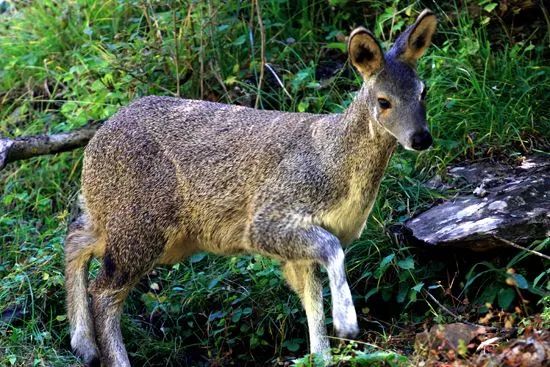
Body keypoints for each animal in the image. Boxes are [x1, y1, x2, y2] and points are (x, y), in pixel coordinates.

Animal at [64, 9, 438, 367]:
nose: (421, 138)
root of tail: (93, 146)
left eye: (423, 91)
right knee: (104, 291)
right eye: (383, 101)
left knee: (76, 236)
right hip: (143, 224)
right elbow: (330, 254)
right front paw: (346, 322)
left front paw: (322, 354)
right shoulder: (267, 218)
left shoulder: (303, 245)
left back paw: (83, 344)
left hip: (129, 223)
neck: (335, 166)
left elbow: (311, 298)